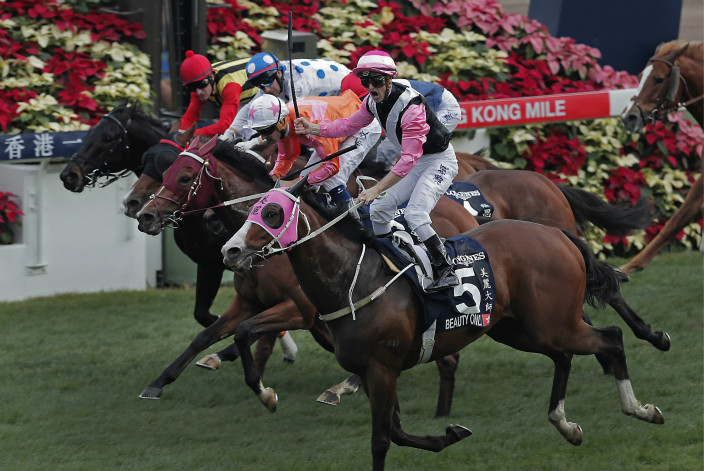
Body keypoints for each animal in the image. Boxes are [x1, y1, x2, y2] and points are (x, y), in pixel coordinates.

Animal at [221, 179, 664, 470]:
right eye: (252, 209)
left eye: (273, 213)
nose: (230, 250)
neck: (351, 279)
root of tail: (555, 232)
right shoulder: (376, 370)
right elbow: (397, 431)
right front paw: (450, 434)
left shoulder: (382, 368)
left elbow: (381, 439)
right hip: (519, 327)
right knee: (565, 357)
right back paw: (566, 424)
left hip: (551, 323)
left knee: (611, 338)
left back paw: (640, 406)